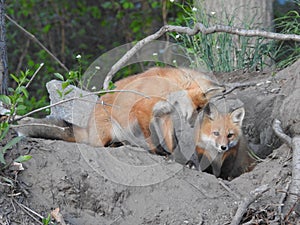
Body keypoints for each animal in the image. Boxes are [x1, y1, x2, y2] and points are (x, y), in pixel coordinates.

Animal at [17, 67, 254, 178]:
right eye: (197, 109)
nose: (197, 123)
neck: (169, 91)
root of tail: (87, 128)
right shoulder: (144, 110)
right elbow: (152, 139)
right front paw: (160, 154)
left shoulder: (165, 115)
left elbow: (170, 140)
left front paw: (175, 156)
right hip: (105, 132)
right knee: (93, 145)